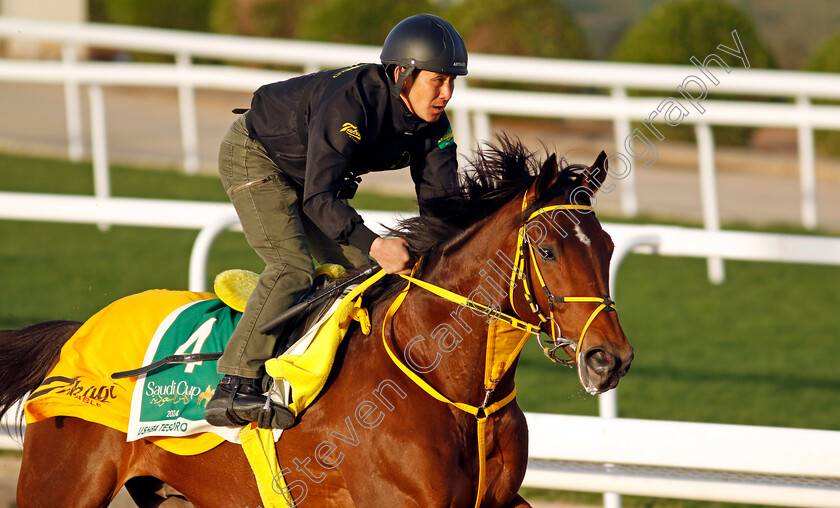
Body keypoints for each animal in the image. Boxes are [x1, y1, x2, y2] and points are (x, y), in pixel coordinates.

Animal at [0, 137, 632, 506]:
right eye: (548, 250)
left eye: (606, 246)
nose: (610, 358)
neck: (450, 387)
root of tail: (74, 337)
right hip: (62, 483)